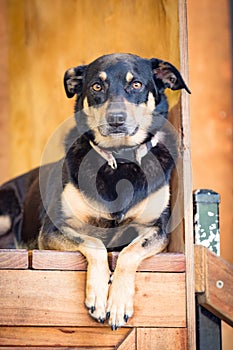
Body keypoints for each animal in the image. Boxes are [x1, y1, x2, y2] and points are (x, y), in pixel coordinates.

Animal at [0, 53, 189, 330]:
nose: (116, 120)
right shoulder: (53, 228)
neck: (120, 158)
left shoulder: (156, 229)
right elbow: (94, 242)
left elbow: (131, 252)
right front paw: (99, 297)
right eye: (97, 87)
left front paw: (118, 303)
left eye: (136, 85)